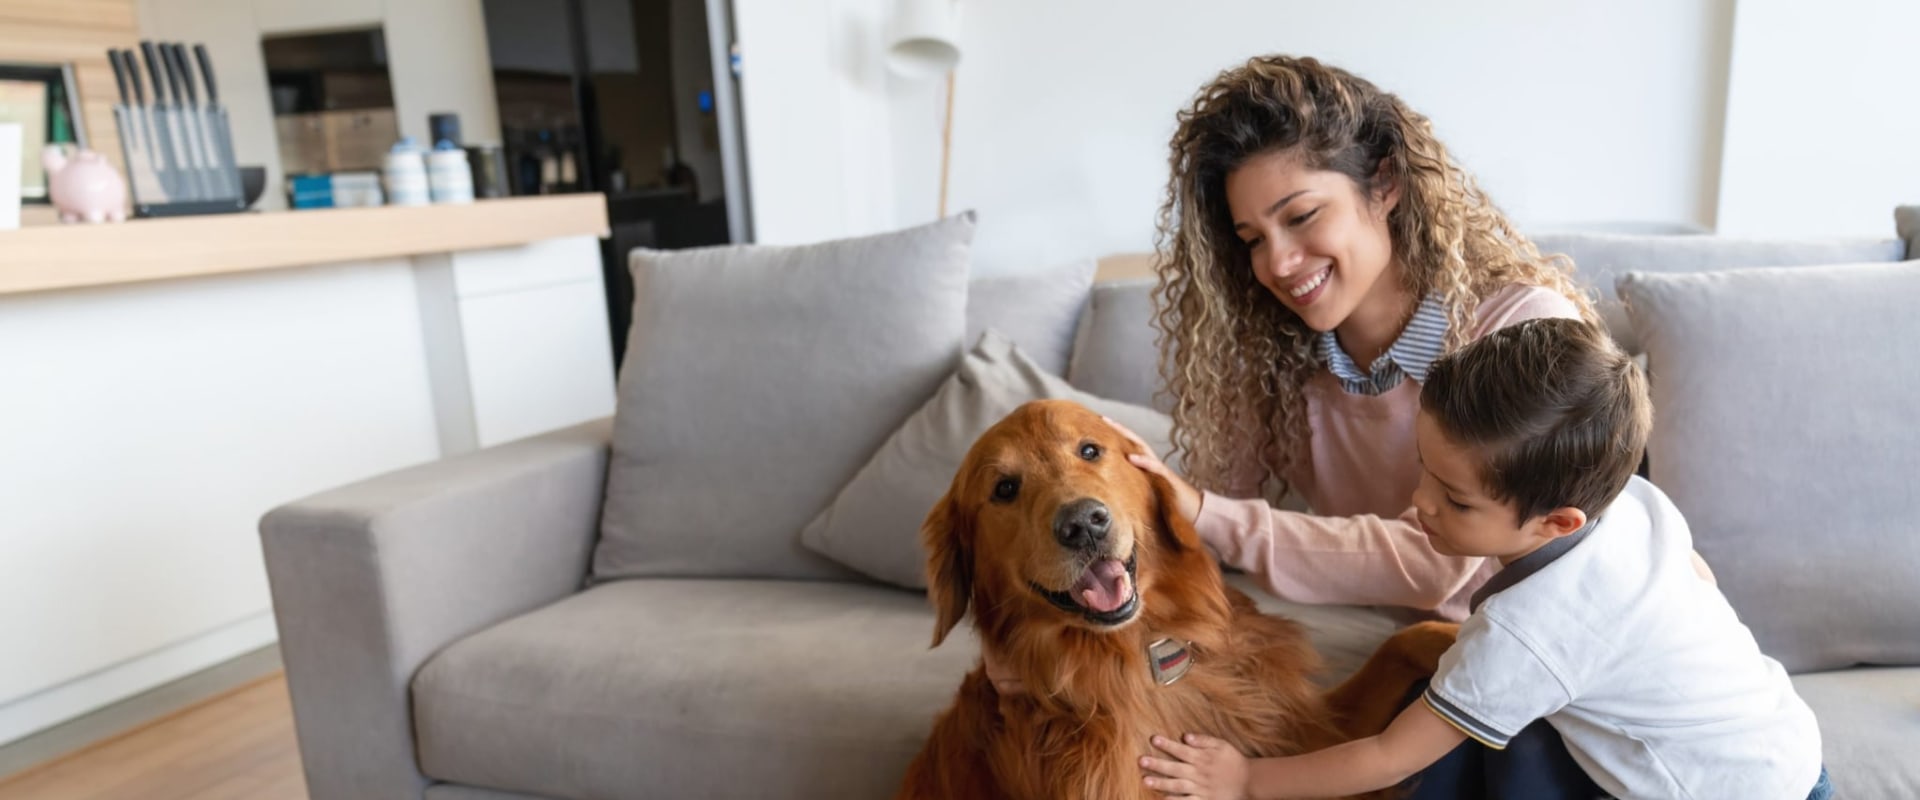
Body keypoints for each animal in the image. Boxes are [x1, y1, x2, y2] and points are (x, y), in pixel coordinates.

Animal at [898, 399, 1451, 798]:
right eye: (1005, 489)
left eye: (1090, 451)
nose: (1083, 524)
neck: (1145, 656)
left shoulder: (1311, 726)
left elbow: (1405, 642)